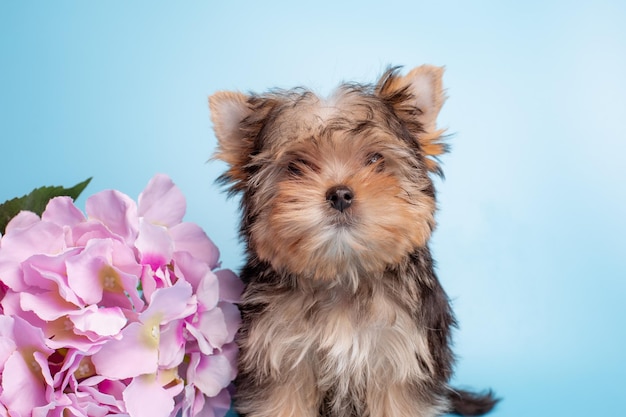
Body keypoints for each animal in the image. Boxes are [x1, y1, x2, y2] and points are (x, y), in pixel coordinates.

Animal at [210, 66, 498, 416]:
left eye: (375, 159)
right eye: (295, 166)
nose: (340, 194)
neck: (343, 273)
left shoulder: (401, 357)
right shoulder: (278, 352)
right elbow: (283, 400)